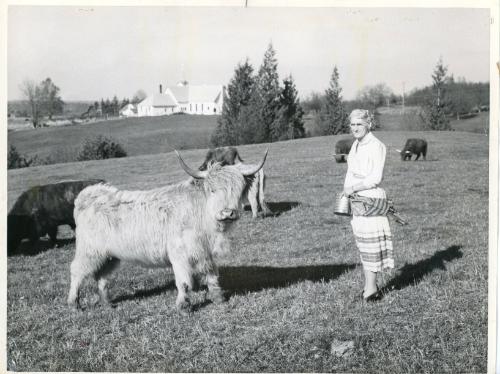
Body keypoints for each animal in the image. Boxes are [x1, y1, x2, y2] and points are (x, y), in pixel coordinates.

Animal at [68, 149, 268, 312]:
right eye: (212, 190)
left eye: (238, 189)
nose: (227, 213)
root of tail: (88, 194)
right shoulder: (180, 254)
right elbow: (184, 282)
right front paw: (183, 306)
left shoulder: (205, 252)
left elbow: (211, 274)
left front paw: (218, 298)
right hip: (89, 251)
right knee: (77, 271)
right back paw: (74, 303)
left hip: (109, 255)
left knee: (101, 276)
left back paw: (107, 302)